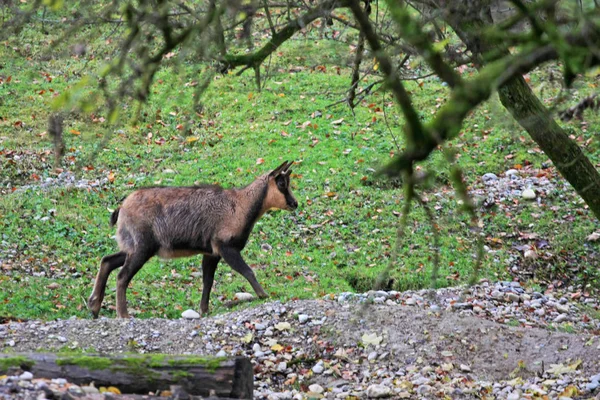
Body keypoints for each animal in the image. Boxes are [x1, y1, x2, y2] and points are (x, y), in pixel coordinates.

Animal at [86, 161, 298, 318]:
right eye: (282, 183)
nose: (295, 203)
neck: (241, 207)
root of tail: (121, 209)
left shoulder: (211, 253)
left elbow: (208, 281)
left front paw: (204, 310)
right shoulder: (225, 247)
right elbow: (247, 271)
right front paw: (263, 294)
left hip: (133, 246)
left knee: (107, 260)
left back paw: (94, 306)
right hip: (142, 247)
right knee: (122, 276)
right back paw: (122, 314)